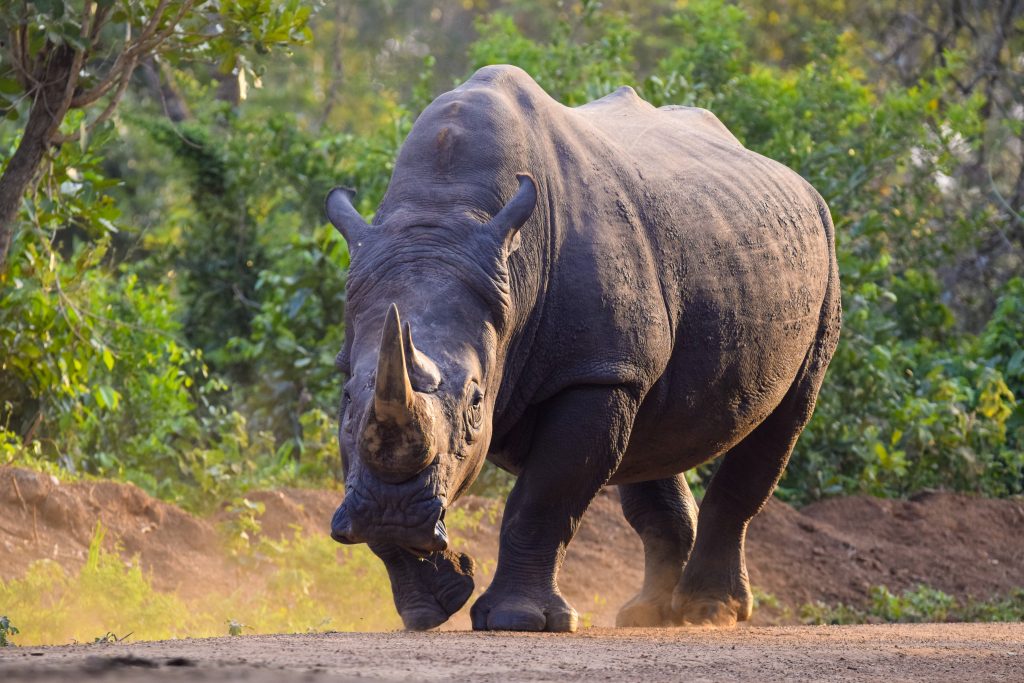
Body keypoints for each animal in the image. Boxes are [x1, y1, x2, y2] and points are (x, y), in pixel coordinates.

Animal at [325, 65, 840, 632]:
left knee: (785, 416)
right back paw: (649, 616)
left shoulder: (596, 370)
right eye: (345, 399)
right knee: (654, 437)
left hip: (824, 258)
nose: (389, 511)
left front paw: (517, 620)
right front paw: (430, 605)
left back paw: (709, 613)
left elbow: (545, 496)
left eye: (477, 404)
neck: (442, 218)